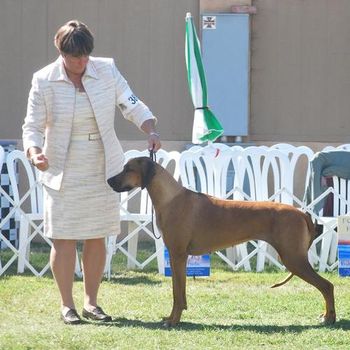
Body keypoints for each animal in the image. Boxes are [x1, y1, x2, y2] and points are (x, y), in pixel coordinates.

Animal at [107, 157, 336, 326]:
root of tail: (302, 213)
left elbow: (177, 294)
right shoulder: (178, 256)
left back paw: (329, 317)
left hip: (293, 258)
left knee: (327, 286)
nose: (109, 181)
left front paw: (173, 321)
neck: (169, 198)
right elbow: (178, 292)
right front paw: (173, 317)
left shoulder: (177, 254)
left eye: (128, 169)